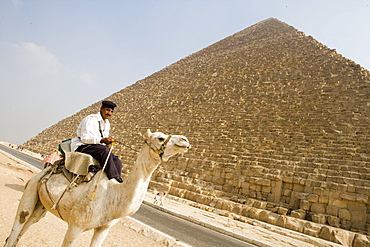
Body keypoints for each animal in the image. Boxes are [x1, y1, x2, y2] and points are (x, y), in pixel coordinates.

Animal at [4, 130, 191, 246]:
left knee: (29, 224)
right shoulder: (76, 226)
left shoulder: (103, 229)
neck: (114, 195)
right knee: (21, 221)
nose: (185, 140)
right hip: (32, 187)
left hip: (42, 205)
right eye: (160, 138)